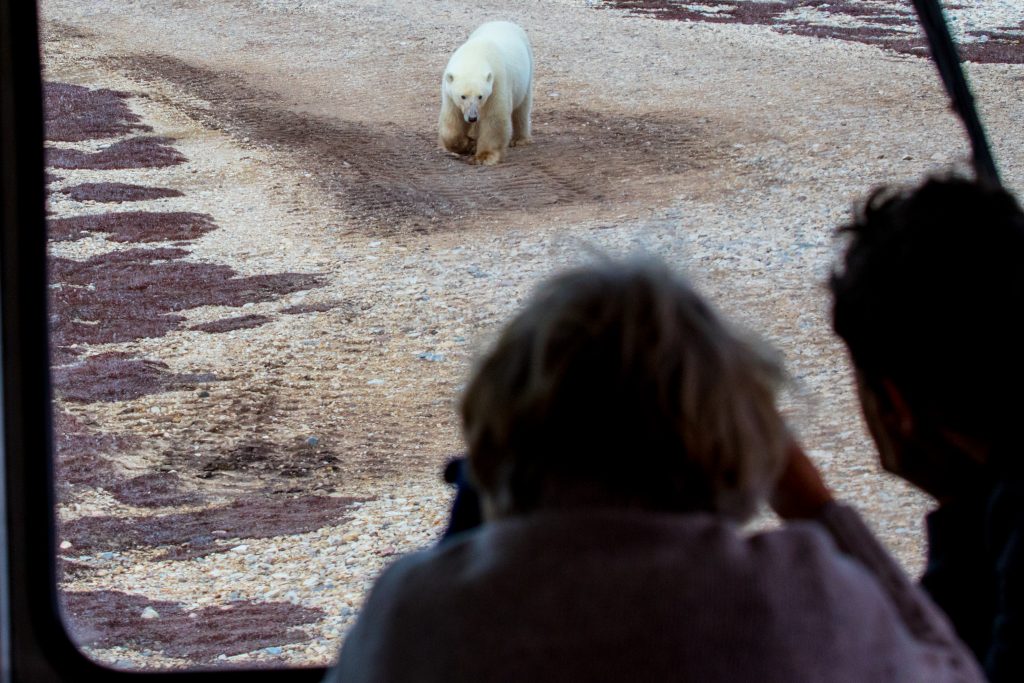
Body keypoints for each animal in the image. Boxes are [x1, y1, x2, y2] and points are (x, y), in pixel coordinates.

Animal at [439, 21, 533, 166]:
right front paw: (469, 145)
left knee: (522, 107)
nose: (472, 117)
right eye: (462, 96)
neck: (475, 56)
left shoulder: (497, 83)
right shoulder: (449, 92)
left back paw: (519, 139)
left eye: (480, 96)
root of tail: (502, 21)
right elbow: (452, 120)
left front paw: (484, 157)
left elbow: (494, 118)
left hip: (526, 72)